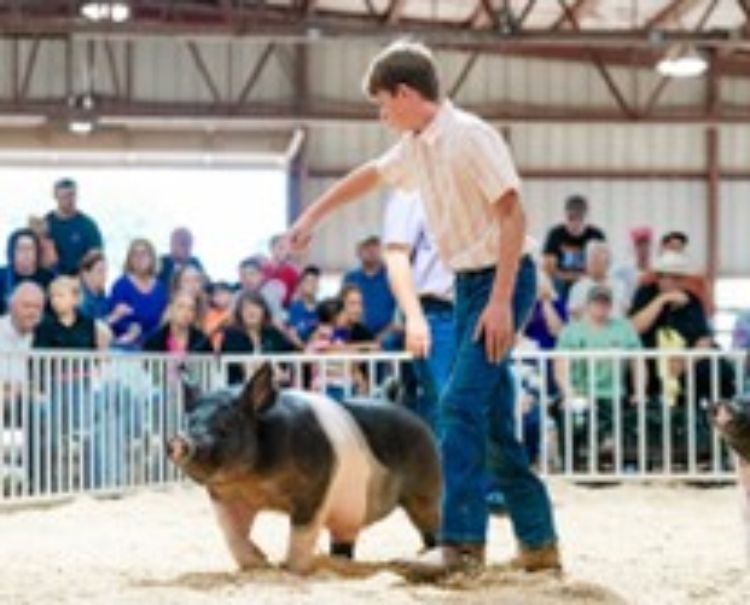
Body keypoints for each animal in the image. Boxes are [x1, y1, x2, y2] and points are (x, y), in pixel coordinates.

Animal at [166, 362, 441, 574]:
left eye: (226, 426)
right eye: (189, 422)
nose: (179, 441)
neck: (255, 481)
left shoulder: (315, 490)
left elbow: (302, 533)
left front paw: (290, 568)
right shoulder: (225, 497)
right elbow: (233, 535)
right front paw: (260, 564)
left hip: (426, 487)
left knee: (430, 523)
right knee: (344, 540)